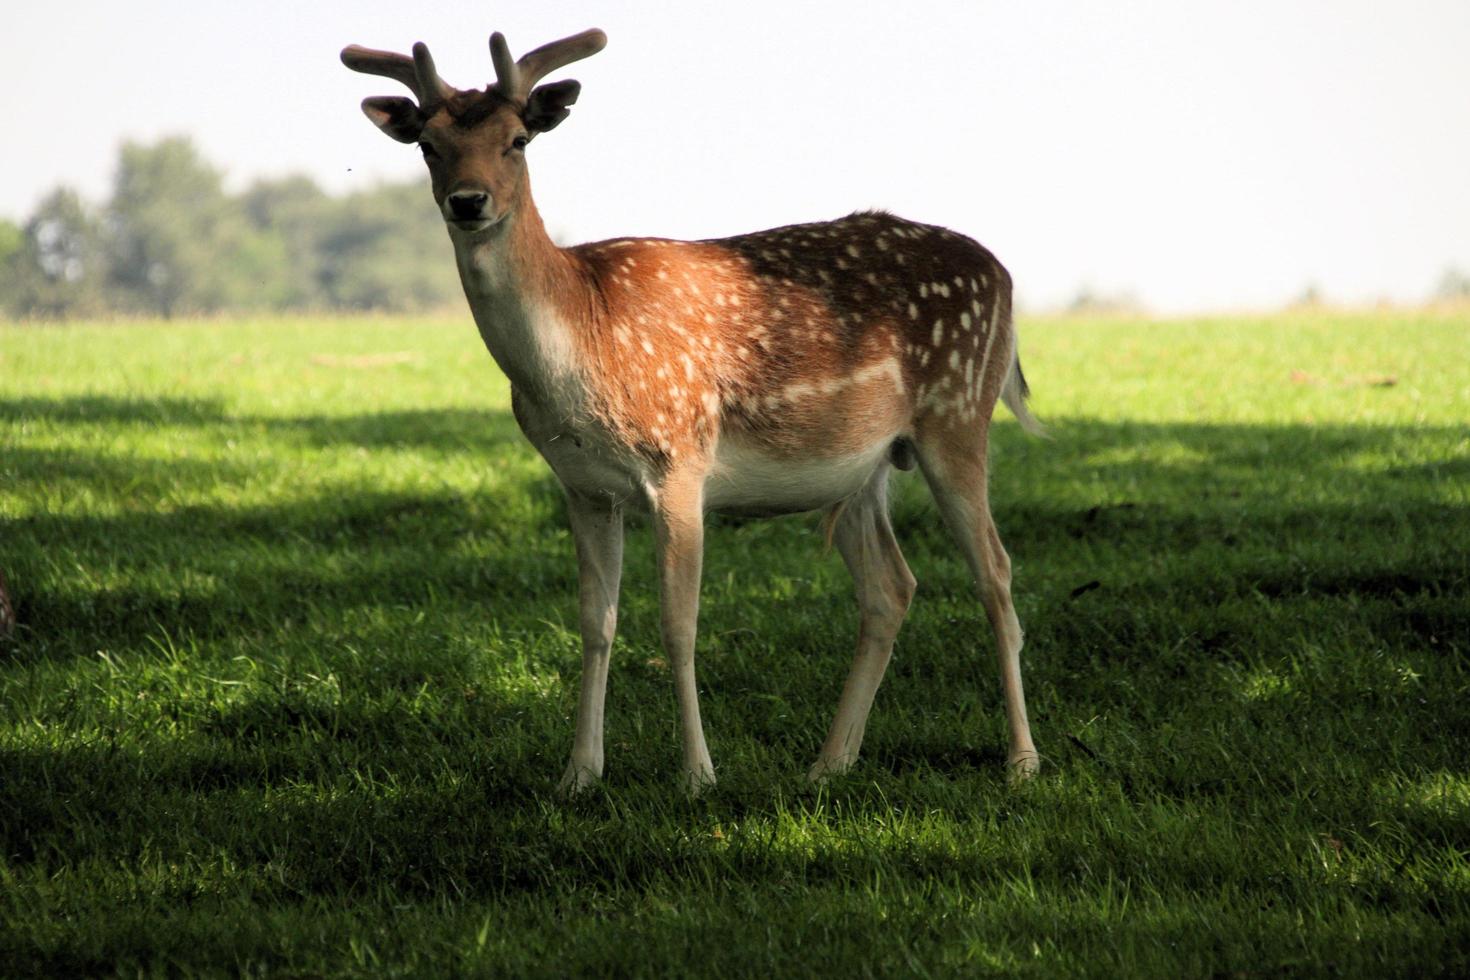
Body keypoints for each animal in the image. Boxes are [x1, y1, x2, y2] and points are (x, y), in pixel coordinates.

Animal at [338, 28, 1040, 799]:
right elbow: (595, 623)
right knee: (891, 588)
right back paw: (828, 763)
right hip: (859, 468)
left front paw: (698, 776)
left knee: (996, 573)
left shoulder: (678, 460)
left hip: (959, 413)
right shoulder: (582, 486)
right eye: (428, 145)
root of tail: (1004, 275)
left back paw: (1021, 762)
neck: (584, 337)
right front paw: (578, 774)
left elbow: (679, 625)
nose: (469, 201)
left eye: (517, 139)